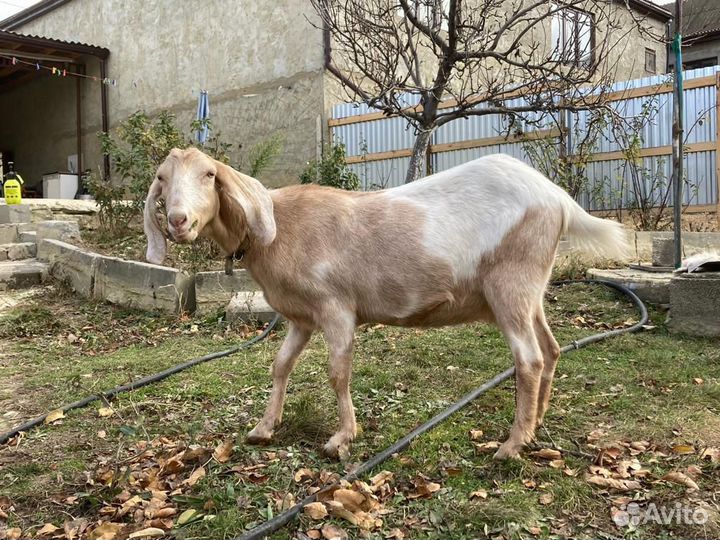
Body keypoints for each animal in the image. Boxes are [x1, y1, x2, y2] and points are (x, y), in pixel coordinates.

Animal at [144, 148, 628, 460]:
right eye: (162, 179)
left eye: (209, 175)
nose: (178, 221)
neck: (281, 228)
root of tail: (557, 198)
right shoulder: (302, 317)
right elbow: (280, 366)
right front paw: (263, 429)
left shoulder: (336, 307)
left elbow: (338, 372)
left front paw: (341, 439)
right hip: (531, 290)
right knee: (551, 348)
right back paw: (535, 425)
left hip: (510, 283)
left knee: (528, 358)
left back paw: (510, 446)